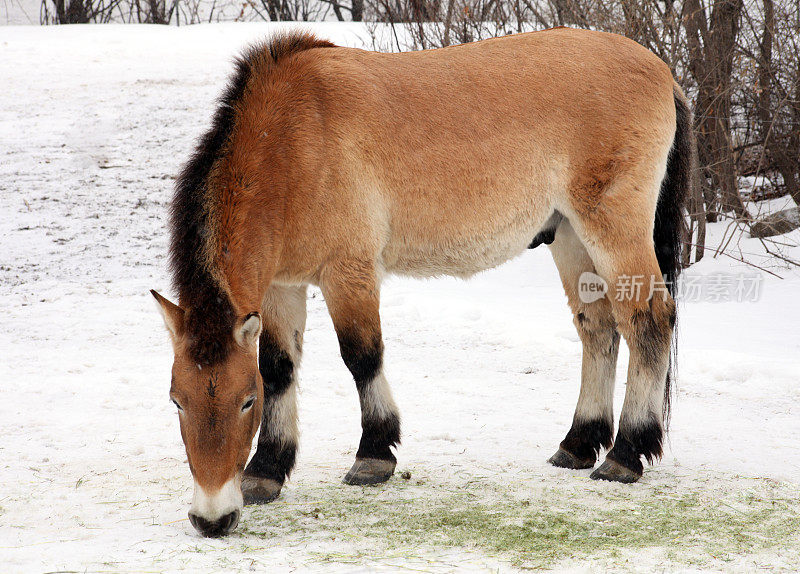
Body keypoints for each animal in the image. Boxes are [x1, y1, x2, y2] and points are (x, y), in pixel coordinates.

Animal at [152, 27, 692, 536]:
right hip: (570, 237)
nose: (212, 518)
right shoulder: (281, 287)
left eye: (246, 401)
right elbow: (280, 369)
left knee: (648, 322)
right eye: (177, 400)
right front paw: (267, 470)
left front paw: (373, 455)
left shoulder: (347, 271)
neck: (292, 140)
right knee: (598, 328)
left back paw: (625, 454)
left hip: (613, 229)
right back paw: (579, 443)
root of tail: (662, 72)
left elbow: (362, 357)